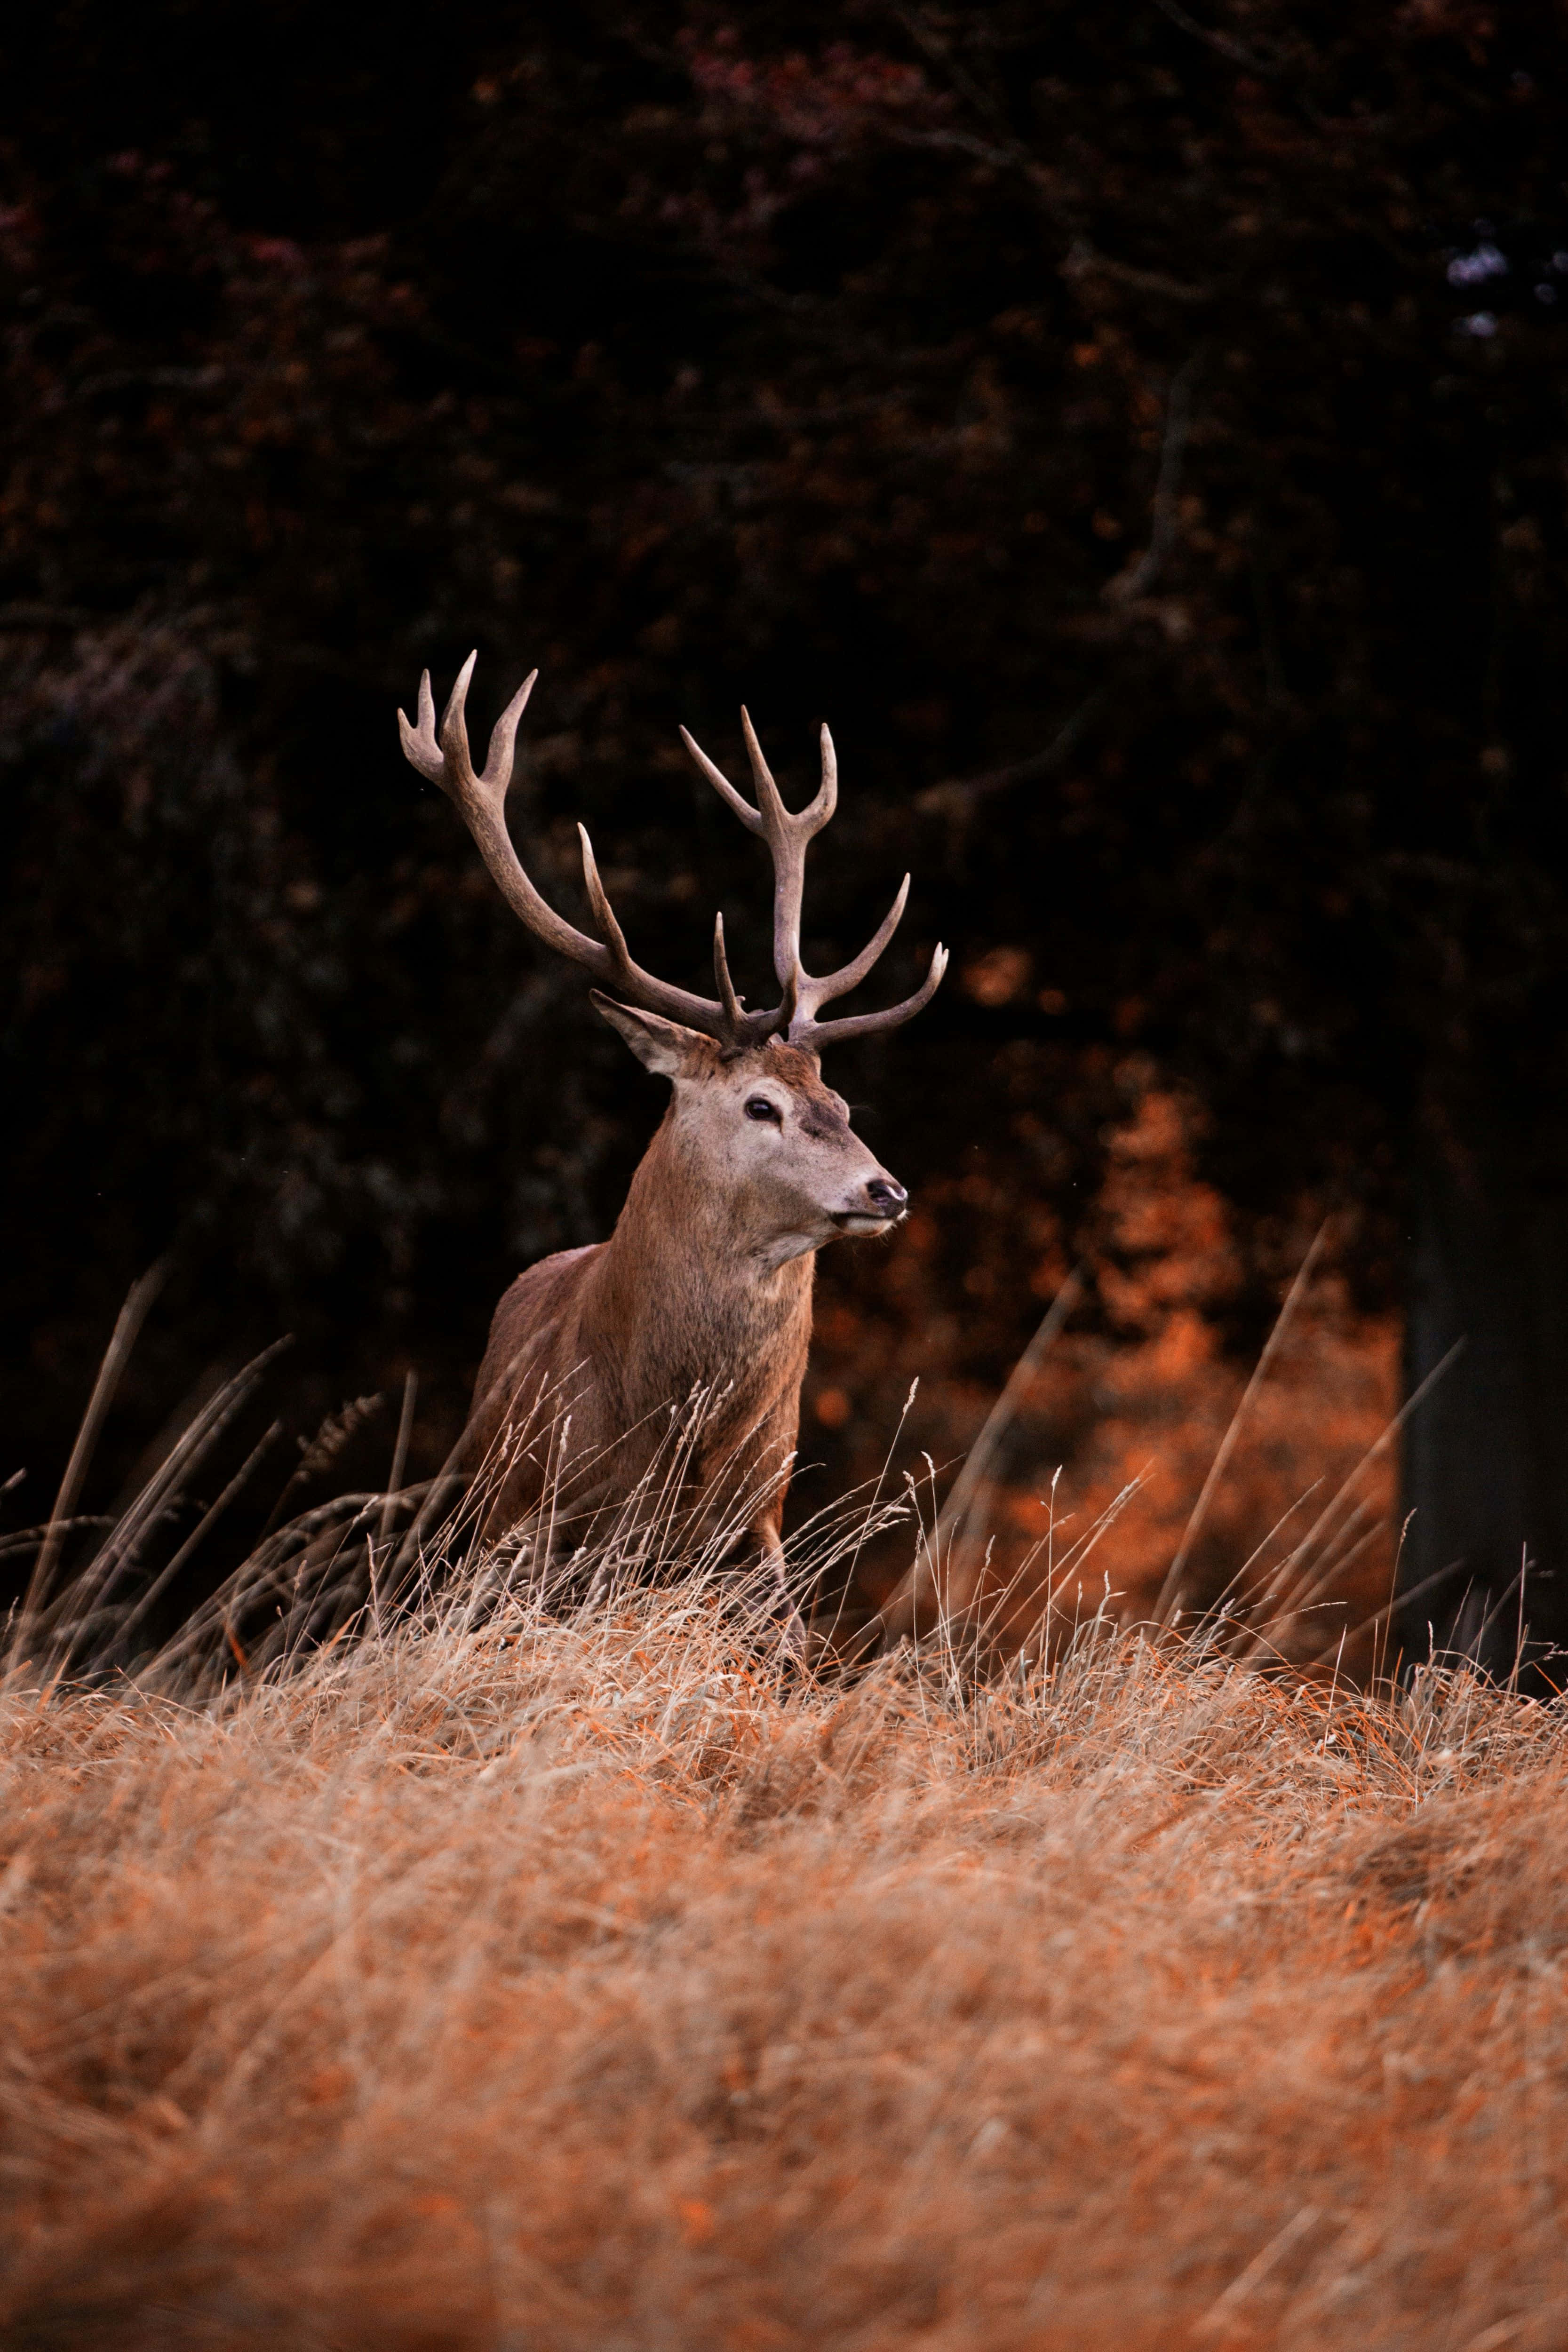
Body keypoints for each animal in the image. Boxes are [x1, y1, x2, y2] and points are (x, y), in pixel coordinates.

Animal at [397, 654, 945, 1638]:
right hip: (478, 1503)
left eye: (840, 1101)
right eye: (761, 1105)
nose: (886, 1191)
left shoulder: (758, 1521)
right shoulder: (545, 1518)